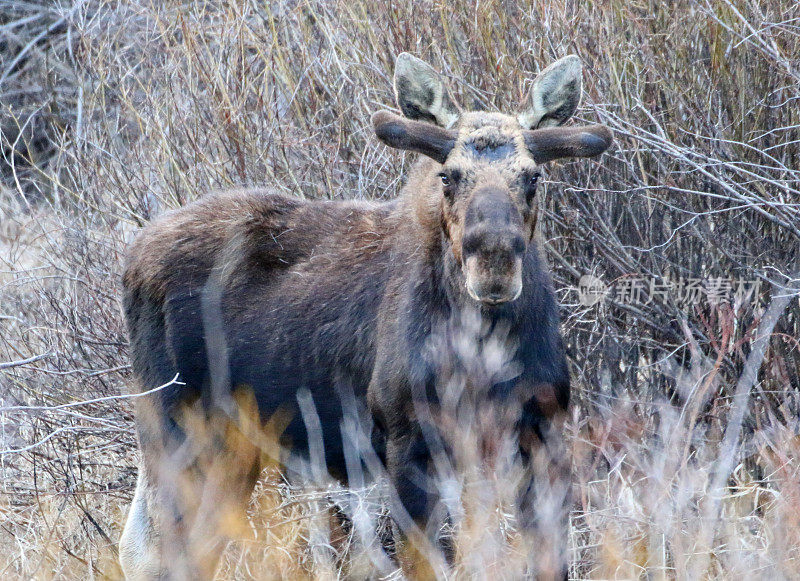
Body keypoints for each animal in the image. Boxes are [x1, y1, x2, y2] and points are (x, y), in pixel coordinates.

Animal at [119, 52, 616, 576]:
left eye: (533, 176)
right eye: (448, 175)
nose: (494, 261)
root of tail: (133, 257)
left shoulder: (541, 435)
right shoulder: (408, 441)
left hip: (230, 448)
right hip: (175, 429)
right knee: (153, 550)